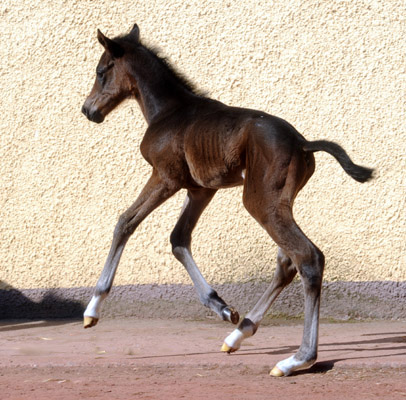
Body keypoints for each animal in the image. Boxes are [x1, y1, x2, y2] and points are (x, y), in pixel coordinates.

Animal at [81, 24, 372, 376]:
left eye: (100, 72)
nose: (88, 111)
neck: (169, 111)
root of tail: (303, 143)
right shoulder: (201, 189)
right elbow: (178, 238)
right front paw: (222, 308)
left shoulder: (166, 177)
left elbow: (125, 222)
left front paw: (92, 309)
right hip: (279, 203)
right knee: (287, 262)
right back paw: (239, 333)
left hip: (260, 202)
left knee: (308, 258)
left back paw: (297, 359)